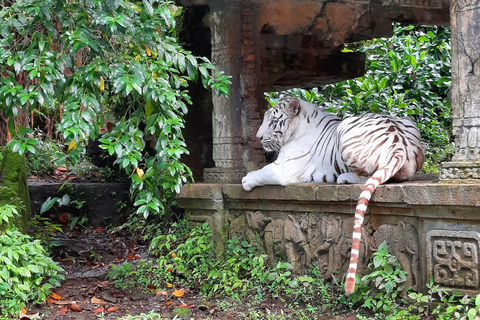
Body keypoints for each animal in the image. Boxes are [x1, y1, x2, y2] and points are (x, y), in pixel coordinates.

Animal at [242, 95, 426, 296]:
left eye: (273, 122)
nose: (258, 137)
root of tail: (399, 143)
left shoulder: (284, 169)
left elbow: (262, 172)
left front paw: (245, 180)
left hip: (346, 128)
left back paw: (344, 178)